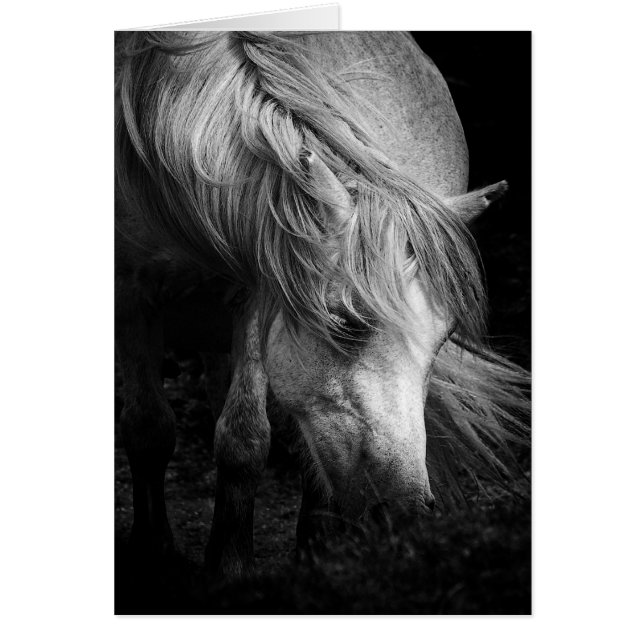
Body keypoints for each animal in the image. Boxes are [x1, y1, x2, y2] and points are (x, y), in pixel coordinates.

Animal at [115, 31, 530, 580]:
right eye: (345, 322)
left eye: (442, 341)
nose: (404, 511)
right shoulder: (132, 294)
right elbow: (148, 427)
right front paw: (155, 553)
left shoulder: (255, 299)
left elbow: (244, 437)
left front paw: (230, 564)